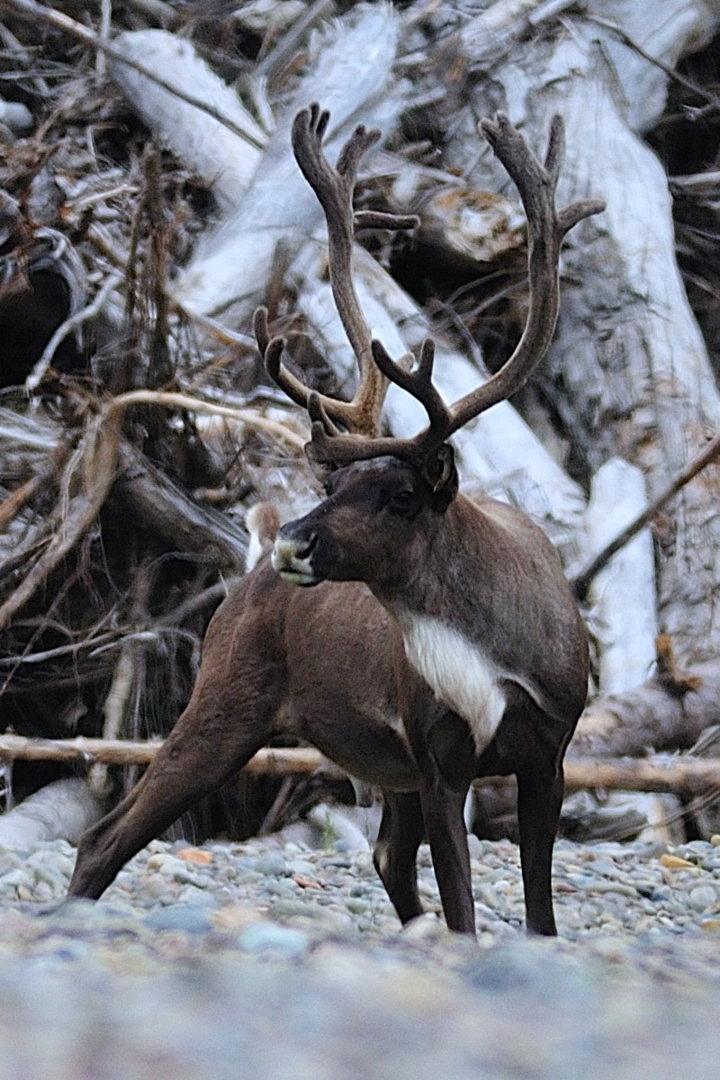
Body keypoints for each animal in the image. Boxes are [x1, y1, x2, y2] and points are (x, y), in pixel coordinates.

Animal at [67, 104, 603, 936]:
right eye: (333, 477)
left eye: (401, 494)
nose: (293, 541)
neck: (491, 657)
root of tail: (241, 583)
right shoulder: (439, 758)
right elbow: (465, 913)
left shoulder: (548, 753)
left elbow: (537, 918)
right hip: (227, 702)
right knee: (103, 839)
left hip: (379, 763)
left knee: (386, 858)